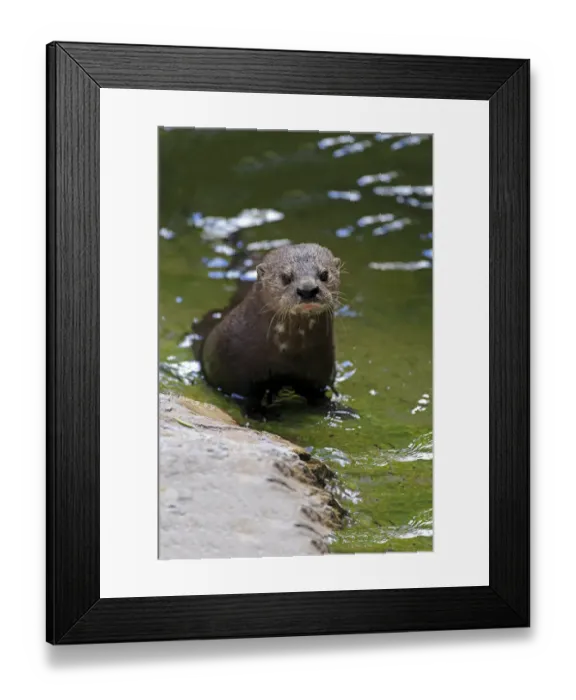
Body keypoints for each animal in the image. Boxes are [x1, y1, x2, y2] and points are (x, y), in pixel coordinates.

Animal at [201, 243, 342, 414]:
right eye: (285, 277)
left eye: (324, 274)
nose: (307, 289)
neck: (287, 352)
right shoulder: (238, 374)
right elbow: (249, 397)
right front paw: (260, 413)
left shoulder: (319, 370)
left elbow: (316, 393)